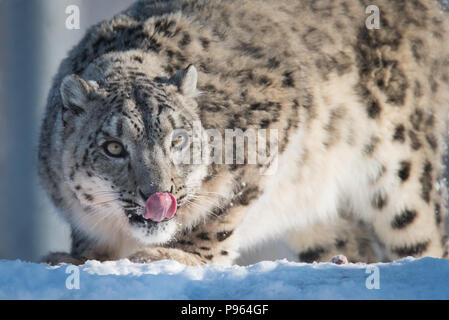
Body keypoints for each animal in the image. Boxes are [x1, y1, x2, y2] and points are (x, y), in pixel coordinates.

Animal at [38, 0, 448, 264]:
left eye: (177, 139)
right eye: (112, 147)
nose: (159, 195)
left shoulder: (269, 122)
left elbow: (219, 210)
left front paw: (178, 255)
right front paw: (73, 258)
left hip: (402, 168)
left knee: (423, 234)